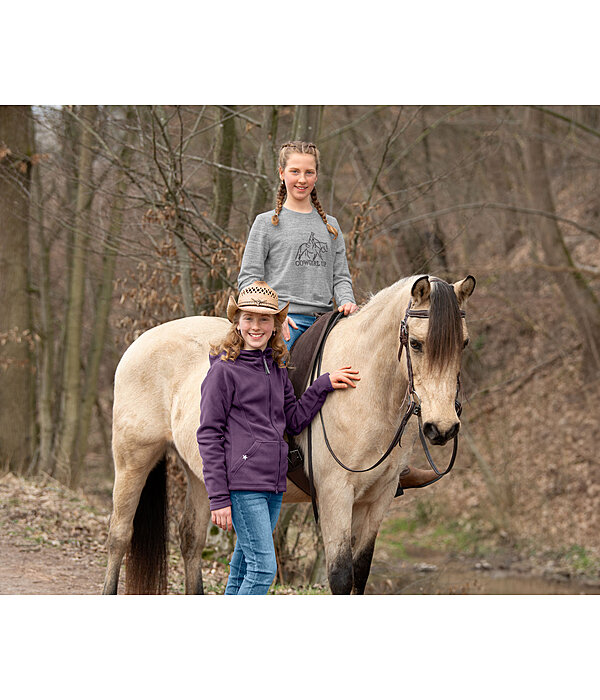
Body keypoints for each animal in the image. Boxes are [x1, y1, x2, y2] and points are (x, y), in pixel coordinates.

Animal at [104, 274, 478, 596]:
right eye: (416, 343)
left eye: (463, 343)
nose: (442, 428)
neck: (365, 390)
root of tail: (140, 342)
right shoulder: (335, 495)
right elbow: (341, 577)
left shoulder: (378, 499)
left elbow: (360, 574)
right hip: (133, 460)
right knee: (119, 536)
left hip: (199, 474)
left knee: (191, 540)